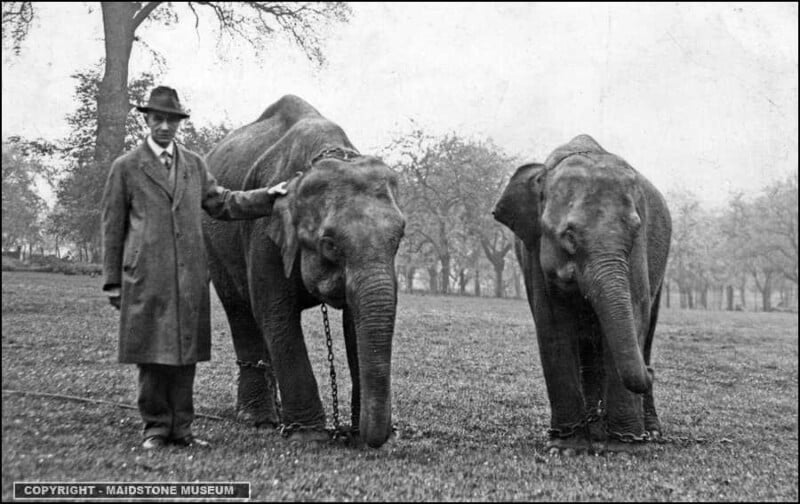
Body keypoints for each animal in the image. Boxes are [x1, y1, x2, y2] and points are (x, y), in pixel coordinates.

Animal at [203, 92, 404, 446]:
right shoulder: (263, 233)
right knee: (240, 311)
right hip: (214, 248)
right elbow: (275, 311)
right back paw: (259, 419)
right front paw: (308, 435)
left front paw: (354, 434)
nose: (383, 434)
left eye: (400, 237)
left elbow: (355, 322)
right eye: (330, 244)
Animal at [494, 134, 668, 452]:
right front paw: (565, 447)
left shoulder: (641, 245)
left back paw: (647, 432)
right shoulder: (534, 248)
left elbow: (636, 310)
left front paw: (625, 448)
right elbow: (553, 325)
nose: (651, 372)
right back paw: (594, 431)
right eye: (569, 235)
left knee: (646, 332)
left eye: (634, 231)